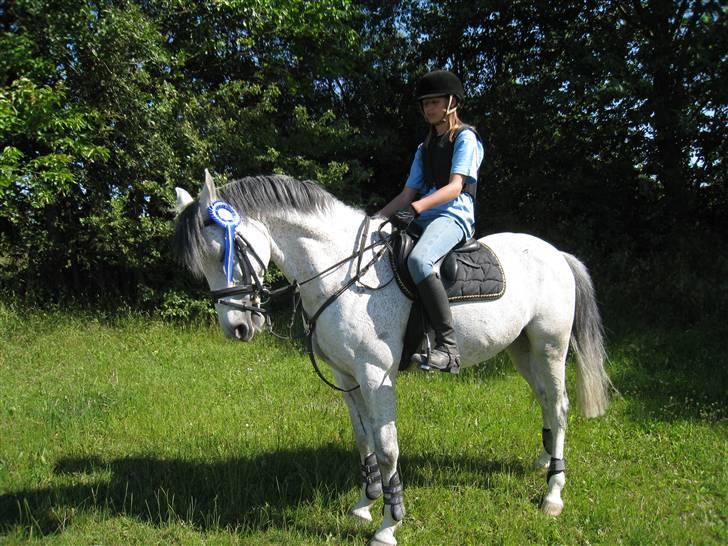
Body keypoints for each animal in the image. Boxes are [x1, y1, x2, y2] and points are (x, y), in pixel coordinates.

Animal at [173, 171, 612, 544]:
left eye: (226, 251)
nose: (237, 328)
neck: (343, 273)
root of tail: (556, 253)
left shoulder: (375, 374)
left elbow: (387, 449)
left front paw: (389, 524)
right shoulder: (346, 375)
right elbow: (363, 438)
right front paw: (365, 503)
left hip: (550, 346)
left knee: (559, 405)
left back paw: (553, 493)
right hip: (521, 348)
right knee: (544, 400)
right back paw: (544, 460)